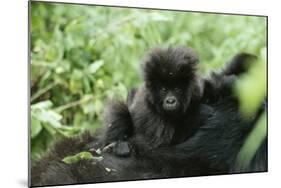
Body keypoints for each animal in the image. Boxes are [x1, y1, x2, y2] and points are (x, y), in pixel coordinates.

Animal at [97, 46, 256, 156]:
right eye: (163, 89)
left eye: (177, 89)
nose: (170, 101)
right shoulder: (152, 116)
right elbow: (165, 141)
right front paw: (203, 112)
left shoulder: (197, 89)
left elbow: (212, 85)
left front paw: (232, 84)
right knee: (120, 110)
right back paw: (118, 144)